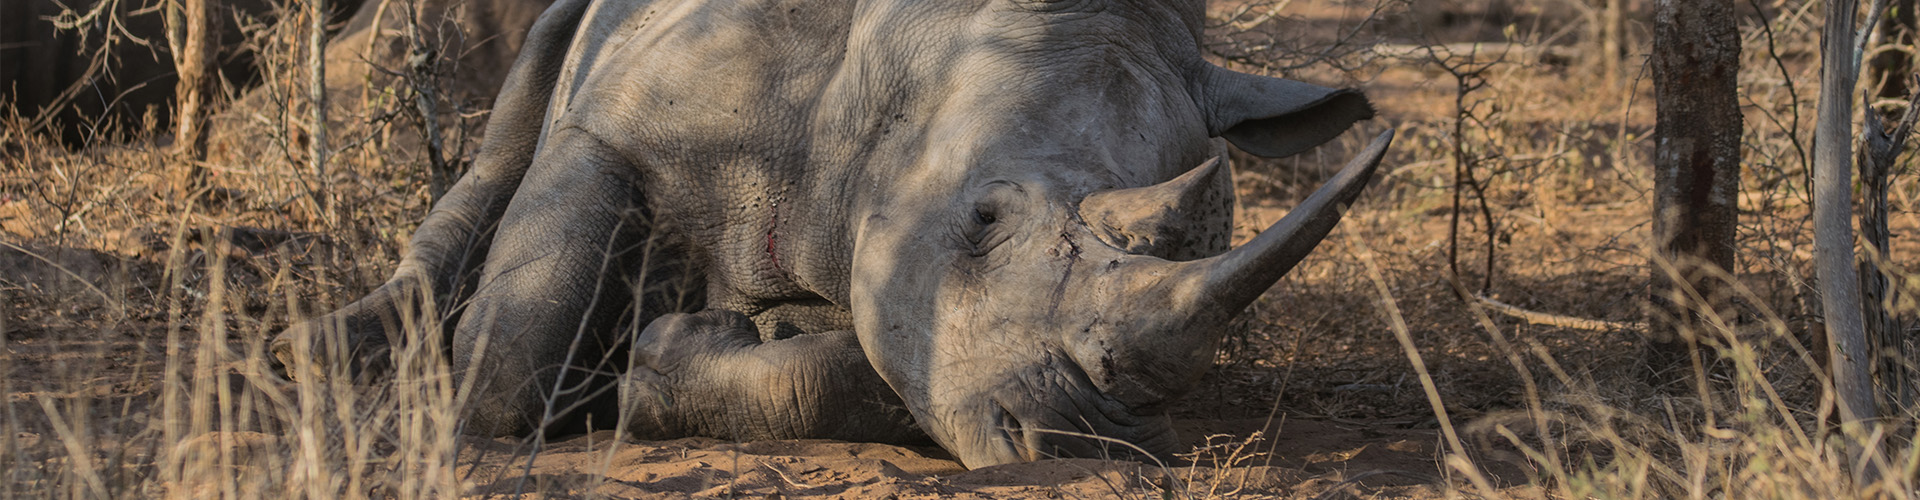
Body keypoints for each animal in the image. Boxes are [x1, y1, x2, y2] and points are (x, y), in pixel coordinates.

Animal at [270, 0, 1390, 467]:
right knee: (523, 104)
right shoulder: (617, 130)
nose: (1085, 444)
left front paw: (669, 364)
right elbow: (506, 367)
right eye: (982, 220)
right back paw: (312, 353)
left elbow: (878, 365)